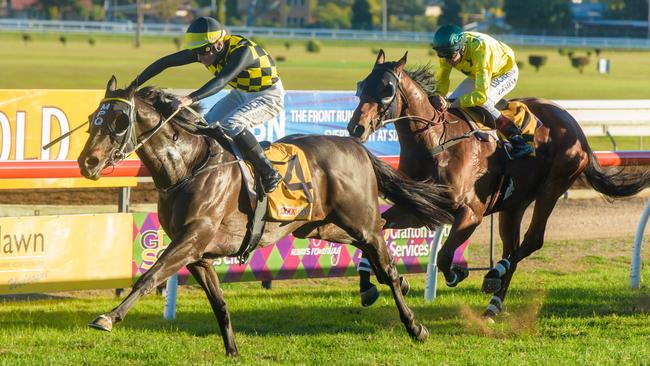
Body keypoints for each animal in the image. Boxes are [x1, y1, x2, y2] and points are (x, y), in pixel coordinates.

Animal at [77, 76, 450, 354]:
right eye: (94, 118)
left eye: (119, 121)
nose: (87, 162)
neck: (189, 167)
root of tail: (358, 147)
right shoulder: (198, 254)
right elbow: (219, 302)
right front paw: (232, 351)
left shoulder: (192, 239)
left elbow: (149, 276)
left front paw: (108, 317)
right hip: (318, 226)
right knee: (375, 245)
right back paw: (397, 281)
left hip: (359, 220)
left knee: (384, 262)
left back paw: (415, 324)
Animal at [346, 50, 644, 320]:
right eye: (361, 85)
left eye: (387, 89)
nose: (356, 128)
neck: (436, 142)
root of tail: (575, 126)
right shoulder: (419, 206)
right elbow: (376, 231)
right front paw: (372, 285)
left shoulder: (470, 213)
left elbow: (444, 256)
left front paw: (458, 272)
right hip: (513, 204)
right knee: (512, 247)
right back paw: (494, 303)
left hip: (553, 186)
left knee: (532, 241)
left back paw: (494, 274)